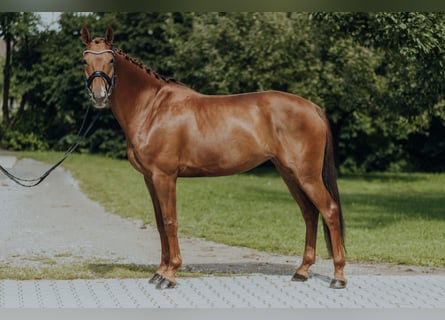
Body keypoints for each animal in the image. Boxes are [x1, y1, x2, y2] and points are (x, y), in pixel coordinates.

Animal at [81, 26, 346, 288]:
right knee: (310, 214)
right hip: (289, 174)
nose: (99, 96)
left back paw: (338, 276)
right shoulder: (150, 178)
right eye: (85, 60)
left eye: (111, 60)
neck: (152, 109)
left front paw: (169, 274)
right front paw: (159, 271)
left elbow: (170, 221)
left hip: (307, 175)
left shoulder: (164, 176)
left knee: (330, 210)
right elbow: (159, 223)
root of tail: (313, 107)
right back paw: (302, 270)